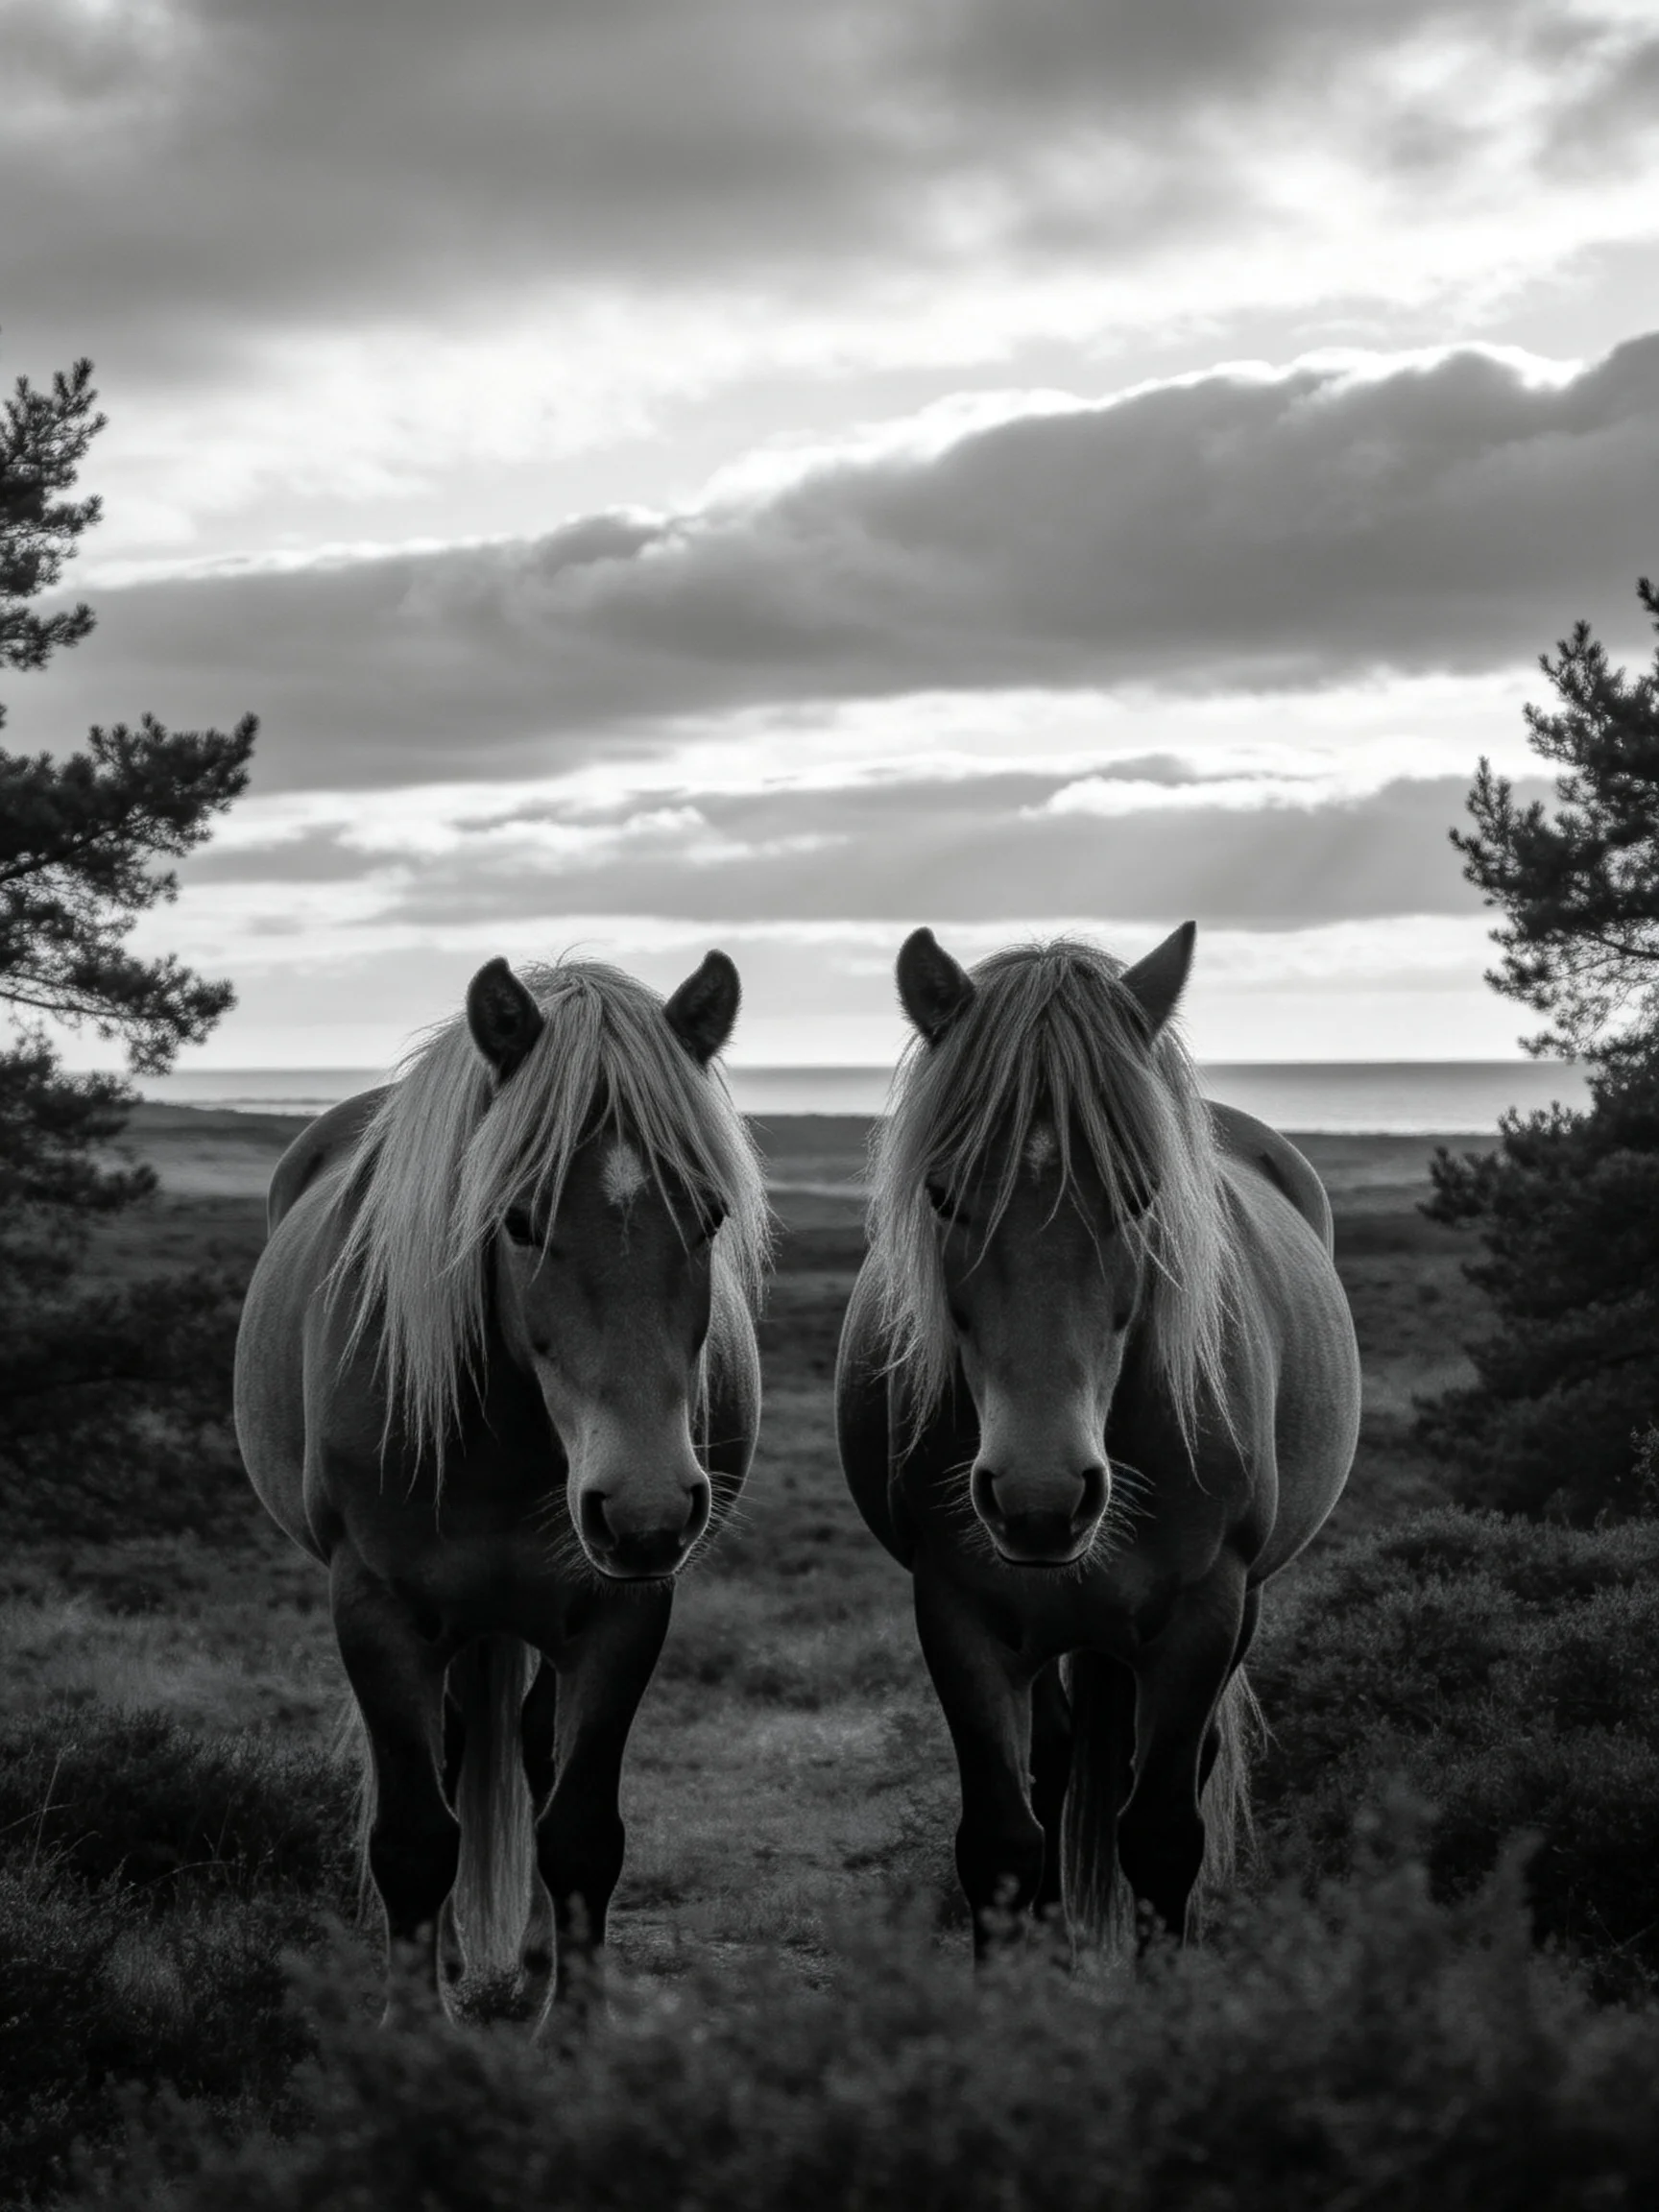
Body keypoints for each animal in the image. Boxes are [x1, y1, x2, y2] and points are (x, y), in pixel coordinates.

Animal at [234, 951, 770, 2026]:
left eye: (710, 1215)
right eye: (518, 1220)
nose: (646, 1510)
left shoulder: (622, 1610)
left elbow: (580, 1833)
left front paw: (574, 2029)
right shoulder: (375, 1608)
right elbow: (413, 1838)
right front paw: (412, 2031)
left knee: (529, 1754)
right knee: (447, 1759)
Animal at [836, 922, 1360, 1953]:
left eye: (1139, 1195)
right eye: (943, 1196)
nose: (1040, 1496)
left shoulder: (1202, 1613)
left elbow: (1159, 1838)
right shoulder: (957, 1611)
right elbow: (1002, 1842)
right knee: (1052, 1769)